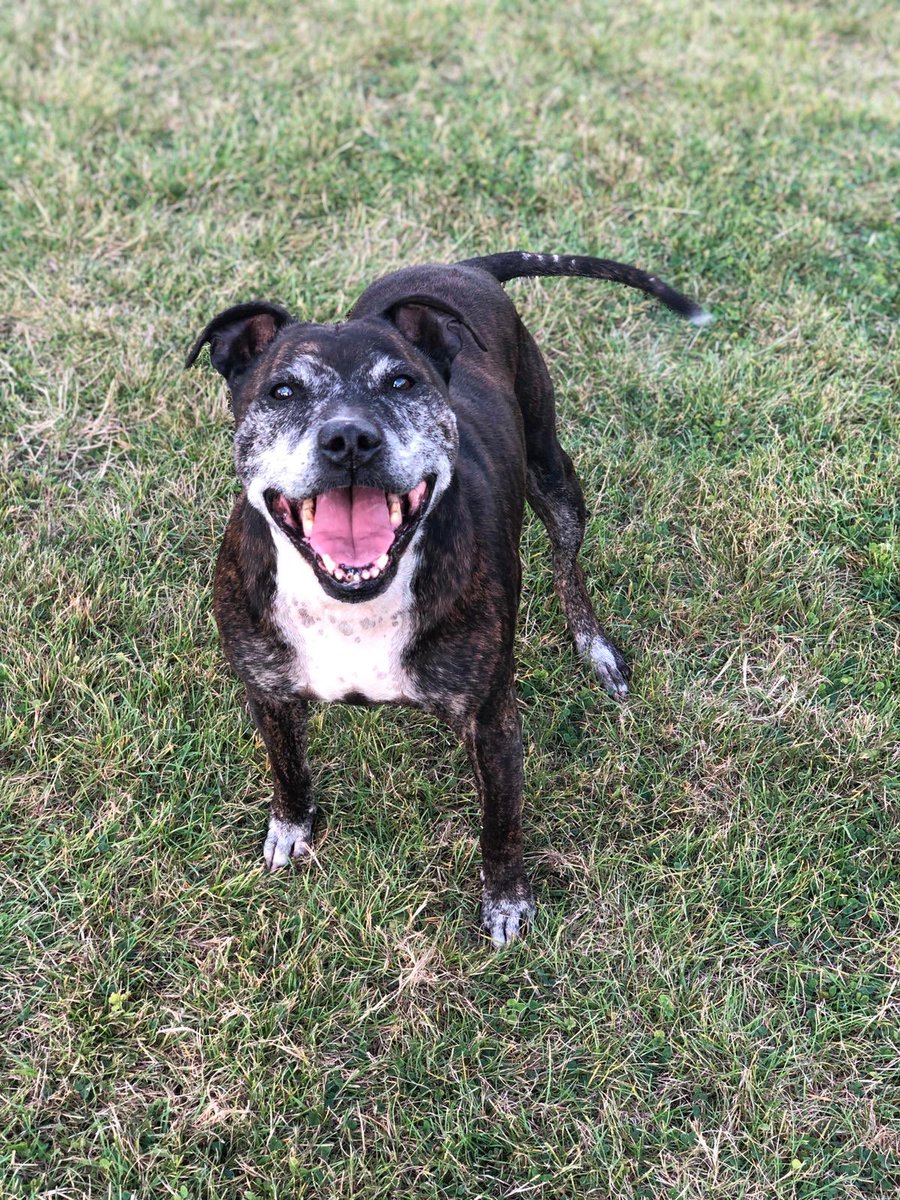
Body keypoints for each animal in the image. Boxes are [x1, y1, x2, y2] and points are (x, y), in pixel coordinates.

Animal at [188, 255, 710, 945]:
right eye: (282, 393)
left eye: (401, 382)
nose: (348, 439)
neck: (352, 602)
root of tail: (459, 265)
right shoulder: (267, 689)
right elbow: (287, 766)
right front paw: (292, 826)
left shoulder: (492, 720)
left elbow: (501, 823)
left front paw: (507, 900)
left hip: (554, 476)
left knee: (567, 563)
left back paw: (595, 648)